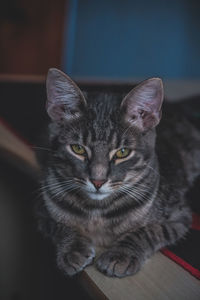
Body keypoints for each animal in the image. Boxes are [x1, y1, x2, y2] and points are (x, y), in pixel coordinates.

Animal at [36, 67, 200, 276]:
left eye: (123, 152)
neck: (97, 212)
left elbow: (149, 231)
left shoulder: (180, 215)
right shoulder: (41, 210)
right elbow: (58, 225)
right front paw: (72, 248)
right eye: (78, 149)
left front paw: (122, 254)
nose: (97, 181)